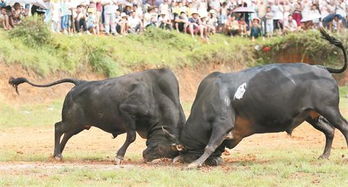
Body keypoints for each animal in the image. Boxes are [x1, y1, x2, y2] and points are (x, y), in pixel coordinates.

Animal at [9, 68, 186, 163]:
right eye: (162, 148)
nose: (145, 157)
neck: (158, 96)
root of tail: (80, 82)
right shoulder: (127, 112)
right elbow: (131, 137)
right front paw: (119, 156)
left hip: (79, 125)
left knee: (66, 134)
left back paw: (58, 152)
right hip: (71, 121)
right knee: (58, 127)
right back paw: (57, 154)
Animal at [173, 28, 348, 168]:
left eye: (188, 150)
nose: (180, 158)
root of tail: (321, 67)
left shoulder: (222, 123)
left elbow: (210, 145)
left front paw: (194, 164)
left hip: (329, 109)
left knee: (343, 127)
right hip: (311, 115)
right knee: (330, 131)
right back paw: (324, 155)